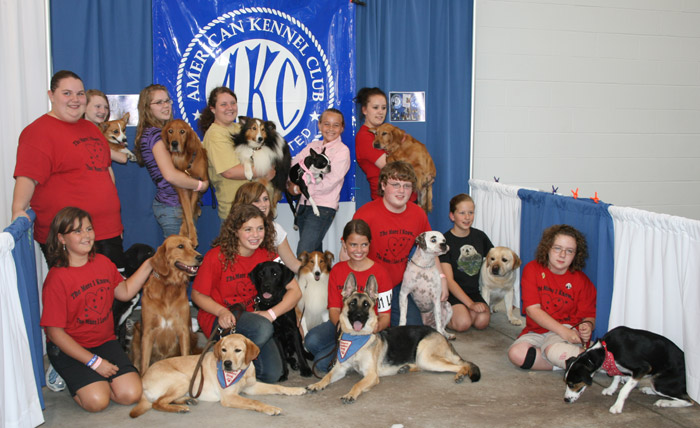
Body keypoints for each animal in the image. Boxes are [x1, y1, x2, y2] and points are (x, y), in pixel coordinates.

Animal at [131, 234, 202, 374]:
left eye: (192, 245)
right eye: (180, 246)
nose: (200, 257)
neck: (169, 287)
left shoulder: (184, 330)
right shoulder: (148, 333)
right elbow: (144, 365)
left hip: (193, 336)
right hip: (137, 330)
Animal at [131, 332, 306, 416]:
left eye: (238, 350)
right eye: (223, 350)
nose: (227, 363)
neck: (240, 372)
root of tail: (143, 378)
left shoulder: (251, 387)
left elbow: (277, 387)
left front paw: (295, 390)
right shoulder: (229, 397)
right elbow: (254, 402)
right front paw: (270, 408)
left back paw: (186, 400)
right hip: (182, 378)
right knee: (157, 403)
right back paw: (179, 408)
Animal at [161, 119, 208, 247]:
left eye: (182, 131)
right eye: (170, 131)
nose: (174, 144)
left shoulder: (197, 185)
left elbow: (190, 210)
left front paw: (191, 236)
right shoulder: (182, 189)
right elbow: (187, 213)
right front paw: (185, 233)